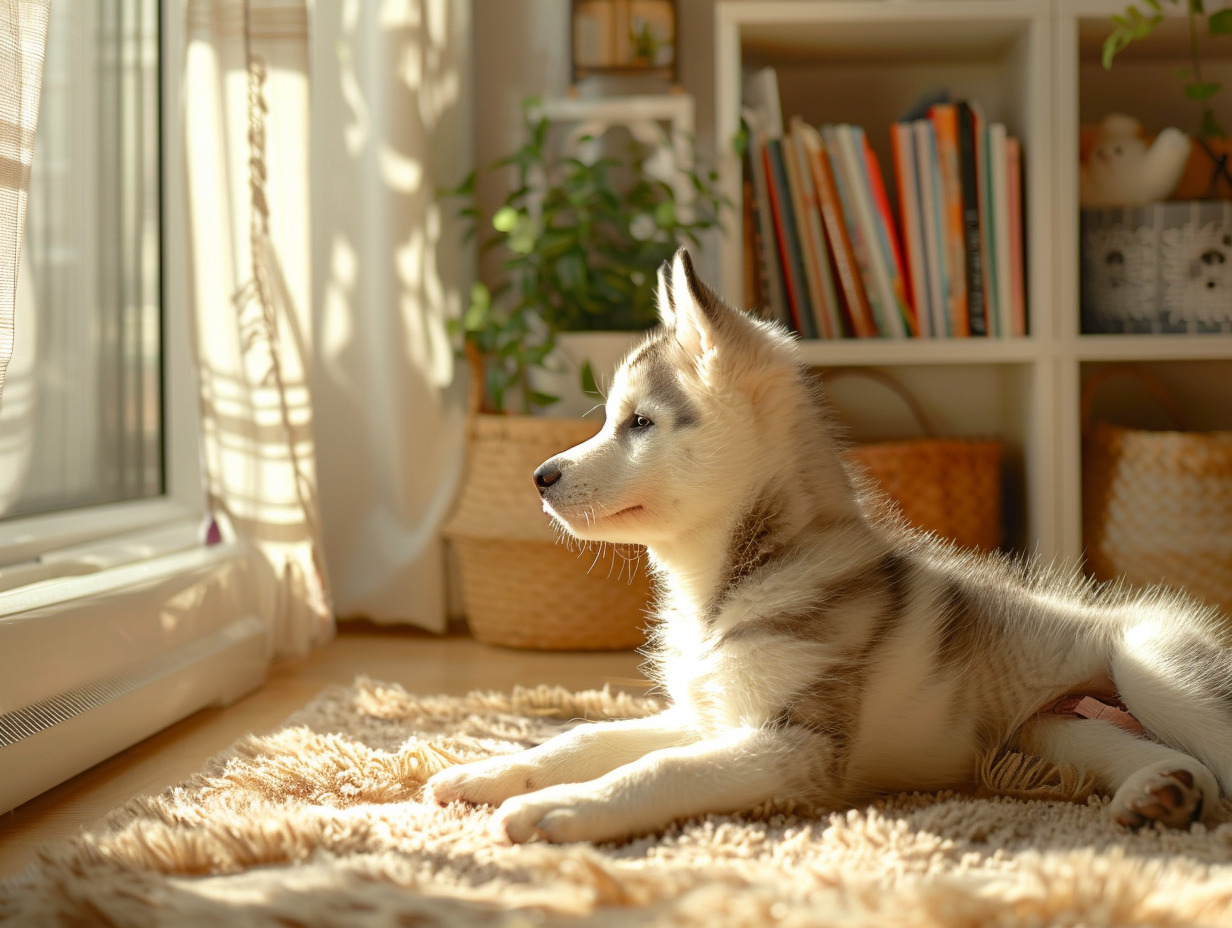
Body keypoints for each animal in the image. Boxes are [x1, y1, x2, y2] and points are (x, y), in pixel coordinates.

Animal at [426, 250, 1232, 842]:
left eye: (640, 423)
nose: (539, 477)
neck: (729, 582)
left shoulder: (796, 743)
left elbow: (663, 771)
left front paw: (560, 810)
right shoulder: (708, 715)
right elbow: (585, 737)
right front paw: (488, 772)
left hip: (1154, 668)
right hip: (1051, 730)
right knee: (1173, 760)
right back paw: (1160, 794)